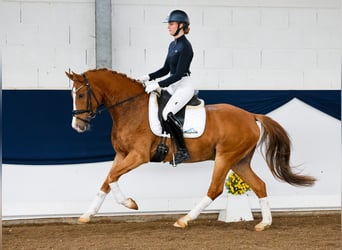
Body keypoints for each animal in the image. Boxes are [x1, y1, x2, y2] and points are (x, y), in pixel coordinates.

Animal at [66, 68, 316, 230]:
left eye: (81, 94)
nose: (77, 126)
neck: (130, 108)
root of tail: (251, 115)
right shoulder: (122, 155)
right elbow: (107, 181)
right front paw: (87, 216)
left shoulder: (138, 155)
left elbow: (112, 177)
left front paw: (130, 203)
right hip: (239, 161)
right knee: (259, 185)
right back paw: (264, 223)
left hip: (225, 158)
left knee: (215, 189)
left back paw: (184, 220)